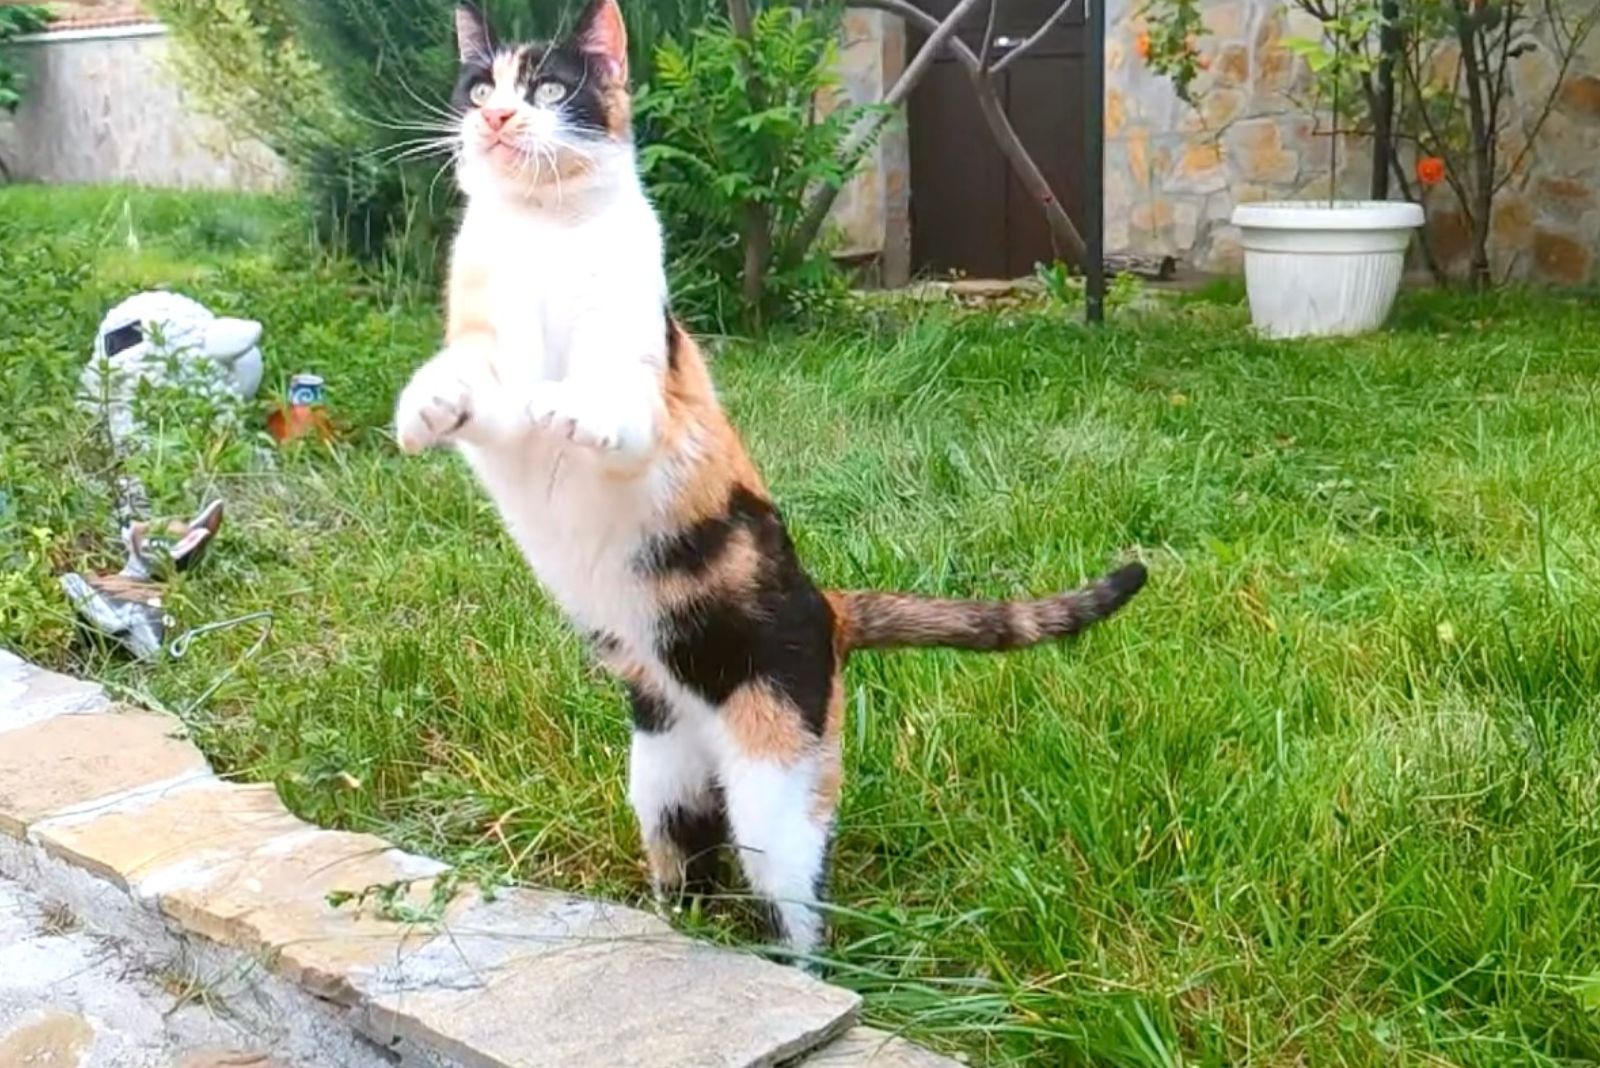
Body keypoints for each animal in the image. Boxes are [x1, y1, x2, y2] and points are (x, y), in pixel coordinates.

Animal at [396, 0, 1152, 959]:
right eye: (478, 87)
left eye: (550, 89)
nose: (495, 118)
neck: (544, 235)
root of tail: (829, 607)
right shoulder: (492, 380)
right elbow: (473, 382)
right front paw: (425, 408)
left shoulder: (650, 373)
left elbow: (614, 403)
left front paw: (577, 411)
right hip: (662, 782)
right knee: (690, 869)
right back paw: (675, 931)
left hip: (778, 796)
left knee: (800, 910)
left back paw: (799, 963)